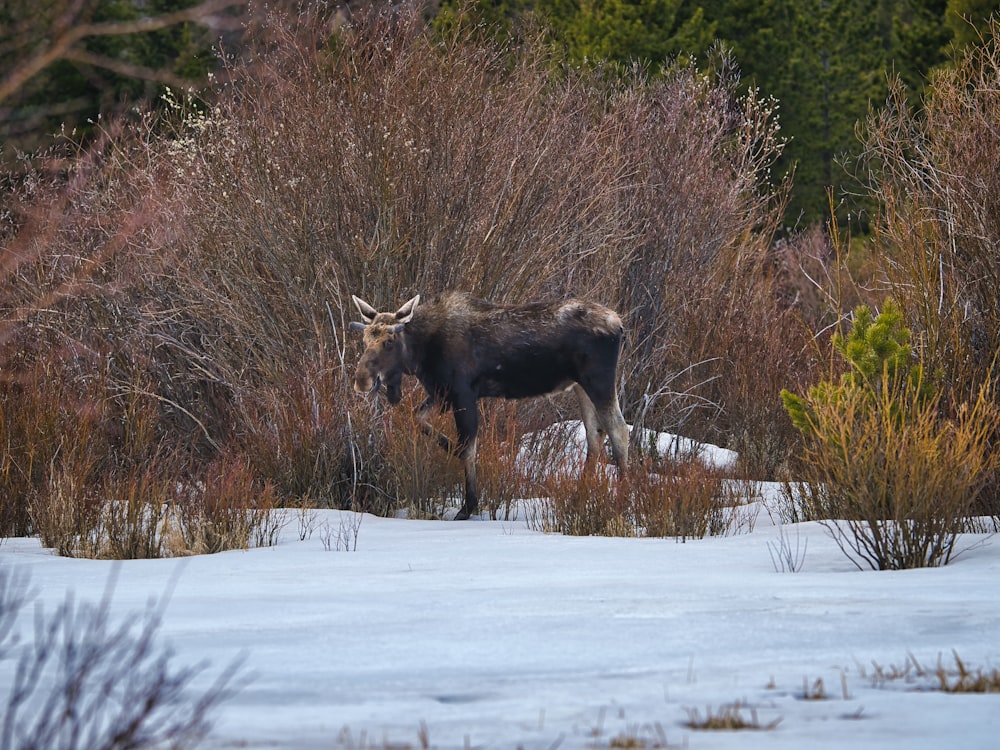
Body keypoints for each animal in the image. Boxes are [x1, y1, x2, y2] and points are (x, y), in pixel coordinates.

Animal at [352, 290, 628, 520]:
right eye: (365, 339)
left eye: (389, 341)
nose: (361, 380)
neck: (421, 354)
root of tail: (619, 323)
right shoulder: (441, 392)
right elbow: (419, 419)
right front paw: (451, 448)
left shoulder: (463, 393)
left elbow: (468, 448)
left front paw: (468, 506)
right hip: (581, 384)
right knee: (595, 434)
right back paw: (579, 497)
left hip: (598, 379)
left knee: (619, 430)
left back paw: (620, 502)